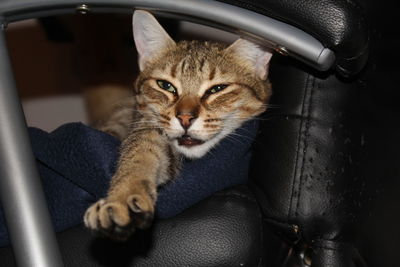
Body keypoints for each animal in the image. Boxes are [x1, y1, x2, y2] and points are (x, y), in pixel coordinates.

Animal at [83, 9, 274, 241]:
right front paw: (123, 196)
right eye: (165, 85)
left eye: (217, 89)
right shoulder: (147, 127)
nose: (184, 118)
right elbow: (139, 157)